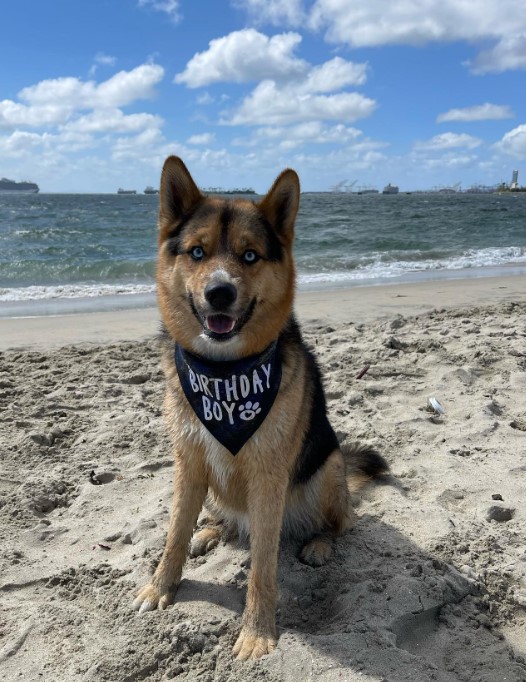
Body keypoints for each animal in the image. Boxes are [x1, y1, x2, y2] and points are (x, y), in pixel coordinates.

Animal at [132, 155, 388, 660]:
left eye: (250, 256)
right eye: (197, 253)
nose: (220, 293)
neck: (224, 371)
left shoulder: (270, 477)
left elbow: (263, 568)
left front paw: (257, 631)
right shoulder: (188, 462)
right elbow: (174, 533)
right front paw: (161, 585)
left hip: (326, 469)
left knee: (342, 522)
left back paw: (318, 544)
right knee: (226, 521)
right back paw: (212, 532)